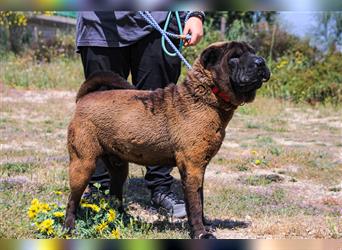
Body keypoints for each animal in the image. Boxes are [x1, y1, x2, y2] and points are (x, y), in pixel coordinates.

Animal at [65, 41, 270, 238]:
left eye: (253, 52)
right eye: (234, 57)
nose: (261, 61)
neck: (203, 96)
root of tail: (85, 97)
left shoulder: (199, 169)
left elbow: (200, 200)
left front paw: (205, 226)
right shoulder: (193, 168)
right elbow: (195, 205)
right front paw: (200, 233)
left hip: (118, 166)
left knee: (115, 194)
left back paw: (123, 218)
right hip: (83, 164)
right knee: (72, 200)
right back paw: (69, 228)